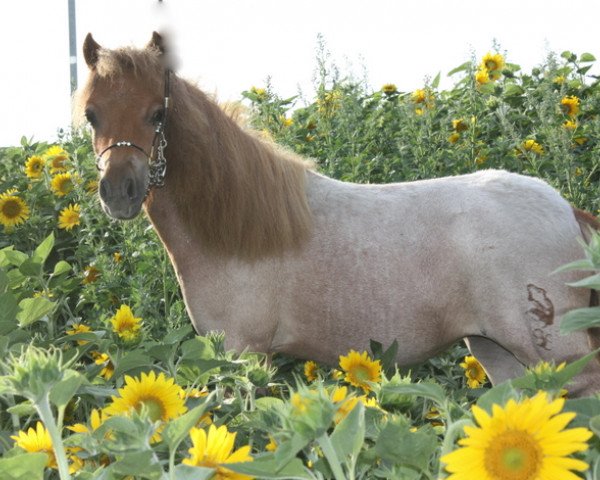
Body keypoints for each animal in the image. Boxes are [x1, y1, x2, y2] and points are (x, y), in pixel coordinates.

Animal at [77, 31, 600, 396]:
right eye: (91, 114)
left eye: (156, 113)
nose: (119, 192)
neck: (237, 231)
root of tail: (565, 210)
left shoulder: (245, 352)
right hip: (499, 352)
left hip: (557, 357)